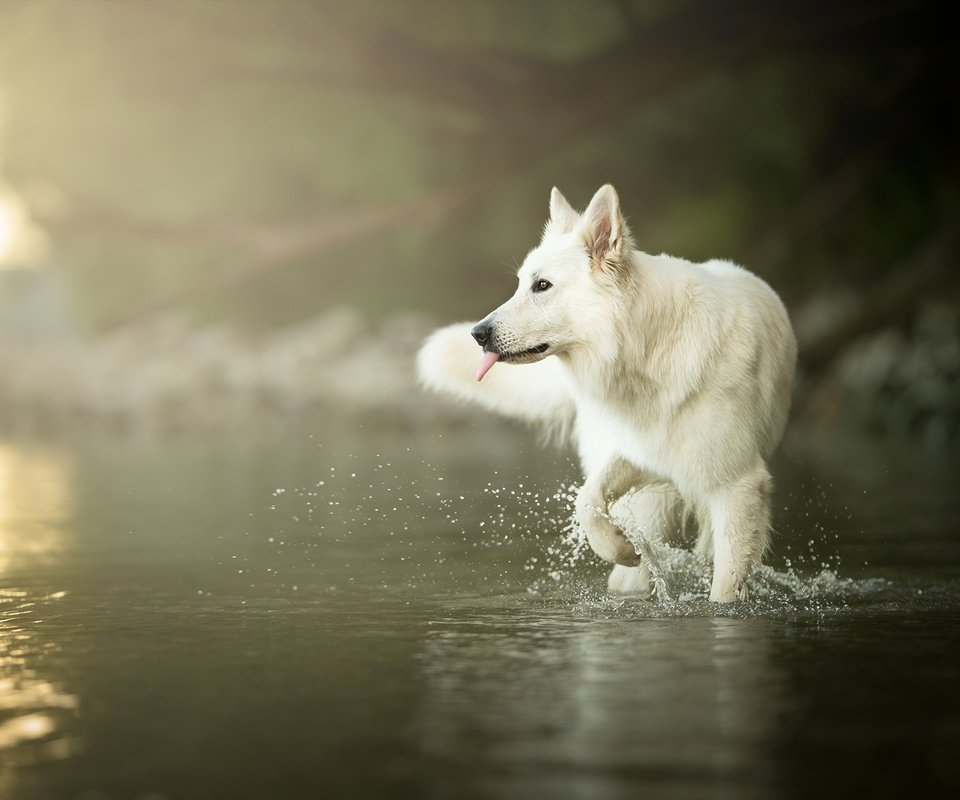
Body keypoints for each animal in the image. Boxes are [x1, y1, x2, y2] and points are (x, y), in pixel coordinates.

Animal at [418, 186, 796, 600]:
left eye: (542, 285)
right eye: (520, 284)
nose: (478, 334)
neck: (648, 352)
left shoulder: (738, 488)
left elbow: (725, 587)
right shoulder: (640, 451)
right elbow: (586, 499)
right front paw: (620, 546)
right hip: (650, 497)